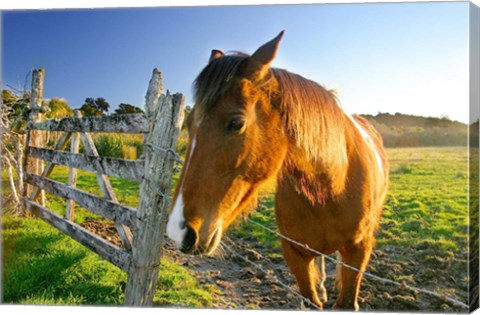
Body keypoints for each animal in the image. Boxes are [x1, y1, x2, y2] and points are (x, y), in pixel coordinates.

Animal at [167, 30, 388, 312]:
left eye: (236, 122)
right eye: (189, 124)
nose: (179, 231)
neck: (332, 187)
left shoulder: (358, 251)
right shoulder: (294, 253)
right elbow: (310, 297)